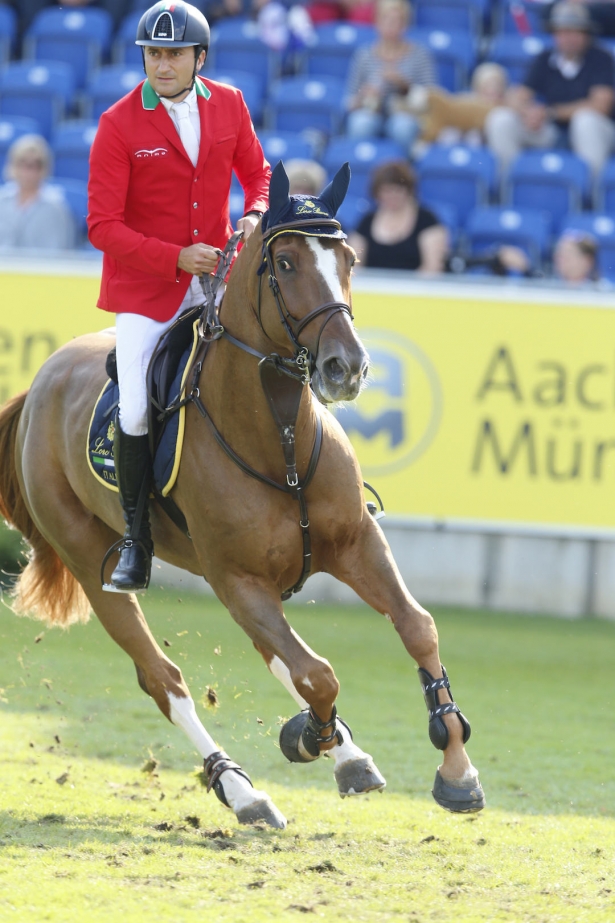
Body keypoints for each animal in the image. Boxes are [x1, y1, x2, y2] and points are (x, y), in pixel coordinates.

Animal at [0, 166, 484, 832]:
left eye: (349, 259)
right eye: (284, 262)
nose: (348, 368)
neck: (278, 435)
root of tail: (41, 381)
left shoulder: (356, 544)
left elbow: (415, 627)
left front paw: (456, 765)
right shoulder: (238, 580)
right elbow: (318, 674)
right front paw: (307, 737)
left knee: (276, 656)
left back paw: (341, 755)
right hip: (94, 561)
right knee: (165, 679)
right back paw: (243, 790)